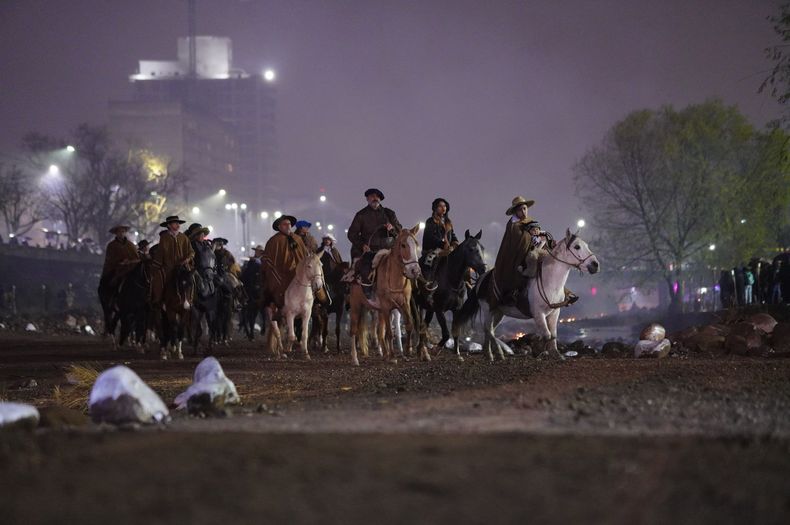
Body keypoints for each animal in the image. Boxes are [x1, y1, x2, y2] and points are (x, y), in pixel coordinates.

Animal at [350, 224, 430, 364]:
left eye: (416, 244)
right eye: (403, 245)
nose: (415, 271)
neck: (394, 278)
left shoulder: (404, 304)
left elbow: (409, 325)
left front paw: (407, 352)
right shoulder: (387, 307)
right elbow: (390, 333)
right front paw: (393, 357)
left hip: (379, 311)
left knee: (380, 333)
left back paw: (385, 354)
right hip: (356, 306)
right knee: (354, 330)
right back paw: (355, 358)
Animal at [452, 229, 600, 360]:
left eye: (586, 246)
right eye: (577, 246)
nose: (595, 265)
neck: (549, 281)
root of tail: (482, 279)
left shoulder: (554, 313)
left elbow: (553, 335)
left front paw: (556, 354)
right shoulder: (538, 313)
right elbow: (547, 334)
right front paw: (538, 352)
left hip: (498, 312)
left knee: (489, 330)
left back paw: (489, 354)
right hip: (487, 309)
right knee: (489, 330)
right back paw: (496, 353)